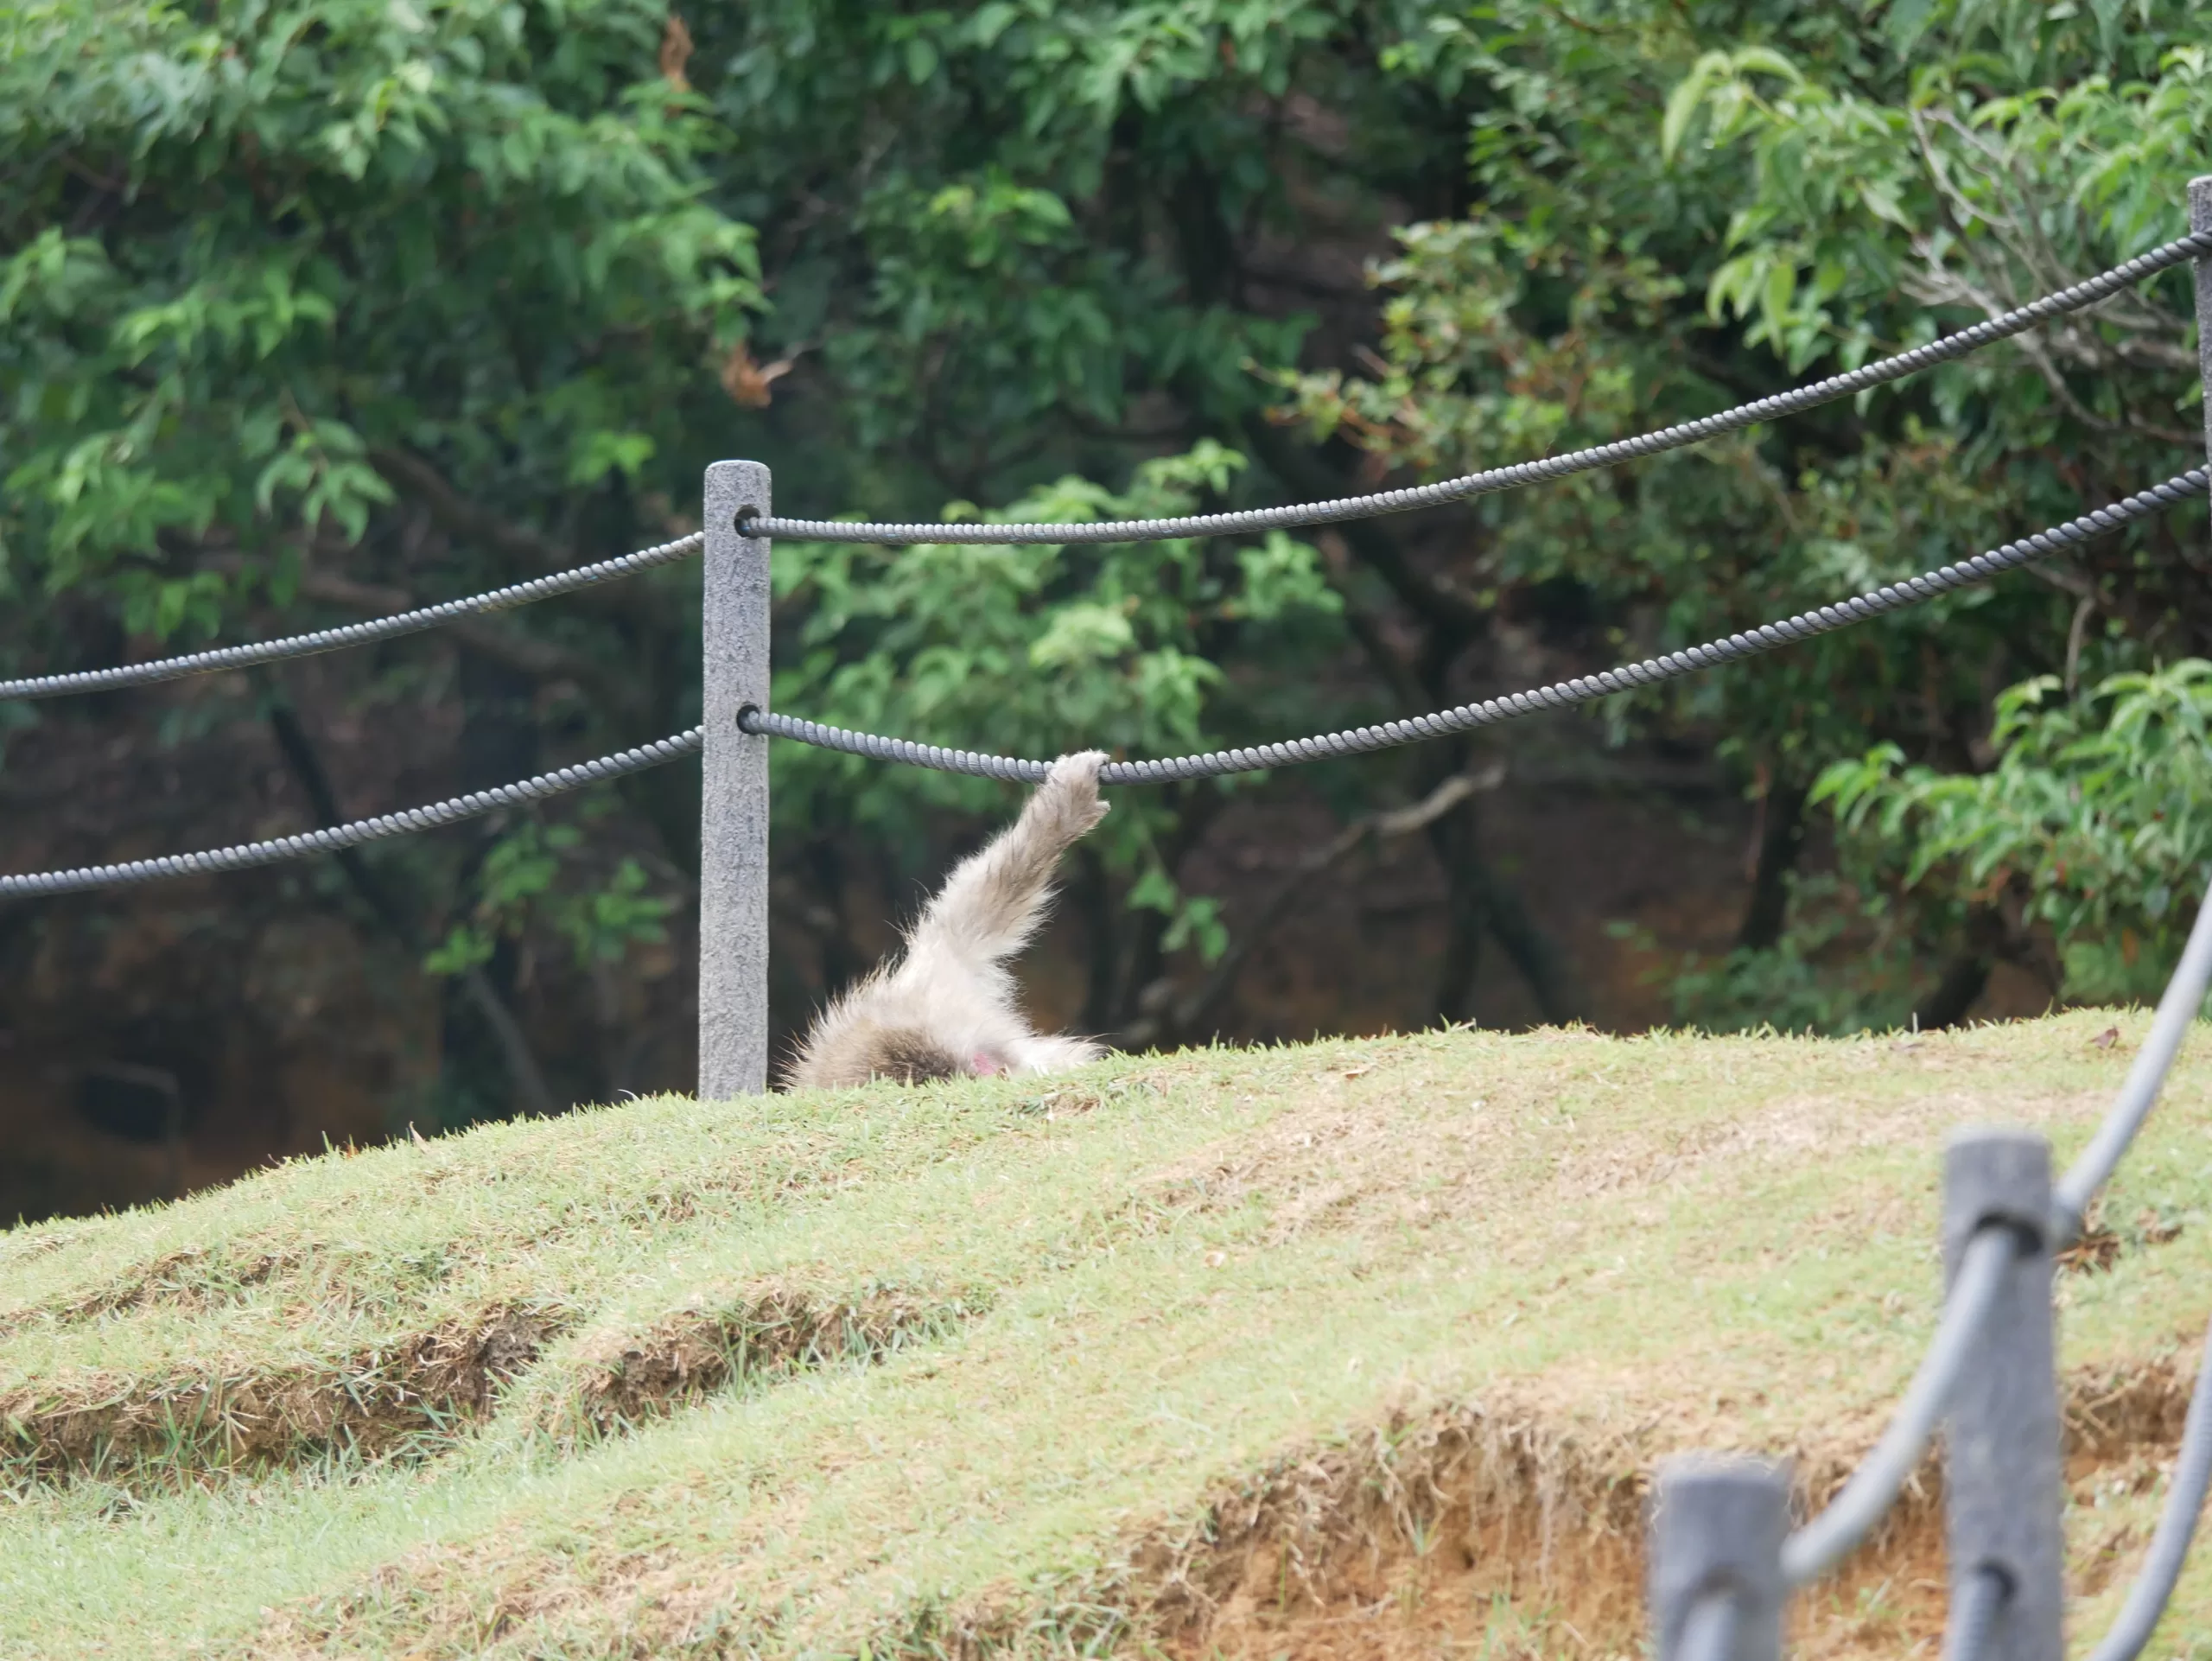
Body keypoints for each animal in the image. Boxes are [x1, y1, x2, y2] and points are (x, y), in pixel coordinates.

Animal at [787, 752, 1115, 1092]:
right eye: (975, 1074)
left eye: (982, 1065)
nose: (1002, 1073)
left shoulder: (933, 982)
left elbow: (971, 917)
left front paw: (1067, 807)